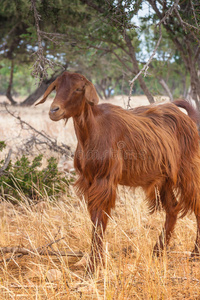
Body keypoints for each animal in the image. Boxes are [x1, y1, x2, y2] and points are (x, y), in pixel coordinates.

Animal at [36, 71, 200, 270]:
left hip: (188, 169)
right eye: (57, 87)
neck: (93, 130)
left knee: (196, 205)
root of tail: (189, 119)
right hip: (165, 179)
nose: (54, 110)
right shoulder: (89, 180)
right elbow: (95, 218)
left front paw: (94, 265)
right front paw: (95, 261)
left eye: (78, 89)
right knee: (173, 208)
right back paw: (158, 251)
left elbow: (100, 219)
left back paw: (194, 254)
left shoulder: (104, 179)